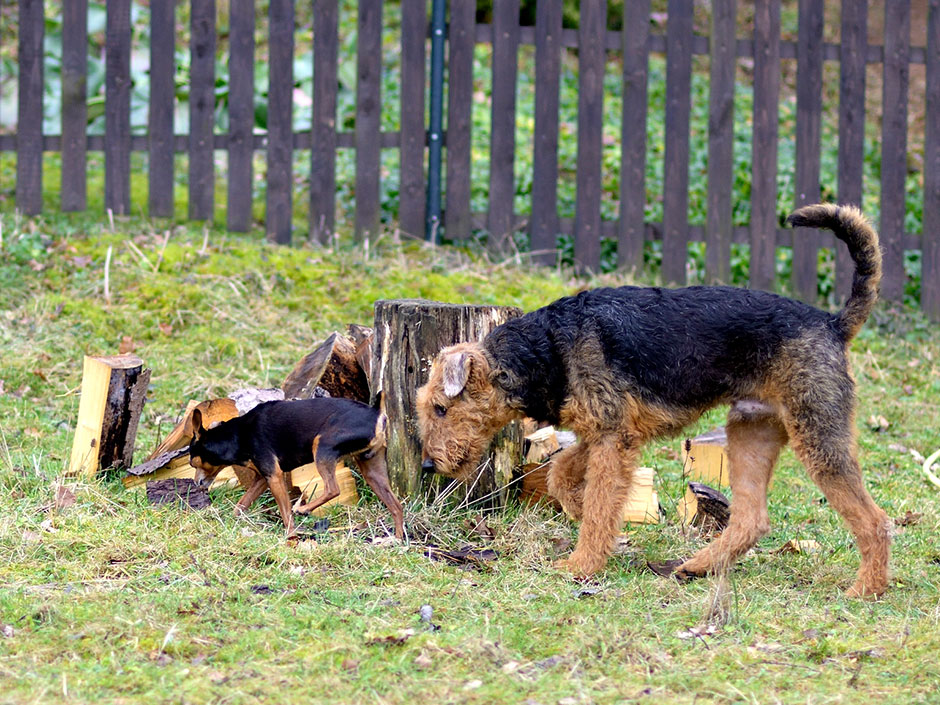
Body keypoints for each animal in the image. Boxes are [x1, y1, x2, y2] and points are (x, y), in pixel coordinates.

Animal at [188, 396, 404, 540]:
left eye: (193, 462)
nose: (196, 483)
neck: (238, 435)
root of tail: (376, 413)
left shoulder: (274, 475)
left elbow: (285, 513)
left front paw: (290, 538)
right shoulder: (263, 478)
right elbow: (241, 505)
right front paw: (231, 522)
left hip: (321, 446)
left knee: (332, 489)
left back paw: (304, 508)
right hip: (372, 469)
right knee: (396, 506)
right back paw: (397, 540)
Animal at [416, 204, 888, 592]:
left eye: (441, 407)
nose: (427, 465)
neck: (546, 350)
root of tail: (833, 323)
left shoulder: (613, 438)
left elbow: (598, 498)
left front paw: (581, 564)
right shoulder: (607, 434)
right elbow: (562, 474)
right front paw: (579, 511)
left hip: (818, 436)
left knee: (874, 520)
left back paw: (867, 589)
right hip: (752, 432)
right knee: (751, 519)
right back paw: (697, 567)